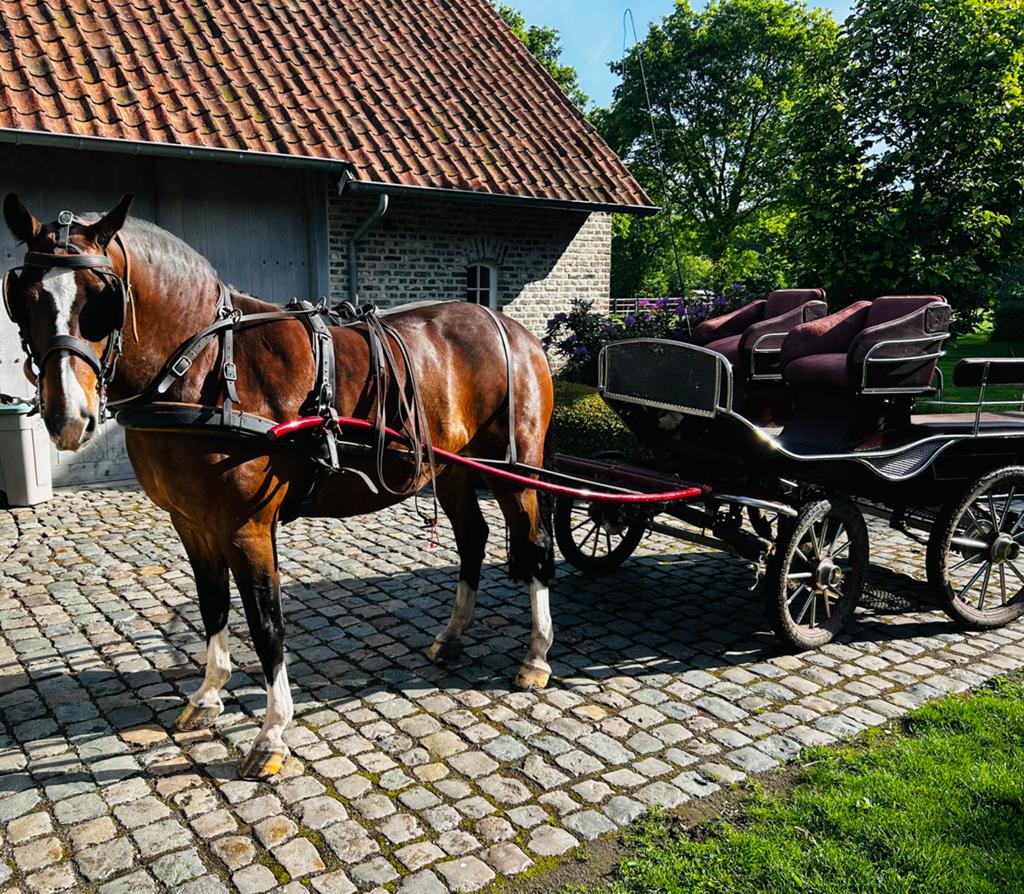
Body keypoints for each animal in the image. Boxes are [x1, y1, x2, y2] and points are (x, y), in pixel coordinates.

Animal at [2, 193, 556, 779]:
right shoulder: (192, 522)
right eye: (25, 298)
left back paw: (536, 656)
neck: (204, 367)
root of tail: (512, 328)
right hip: (452, 471)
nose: (67, 417)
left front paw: (271, 733)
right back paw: (452, 637)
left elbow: (267, 625)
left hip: (516, 471)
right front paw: (208, 697)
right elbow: (213, 604)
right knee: (473, 539)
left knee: (536, 548)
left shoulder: (247, 527)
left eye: (101, 299)